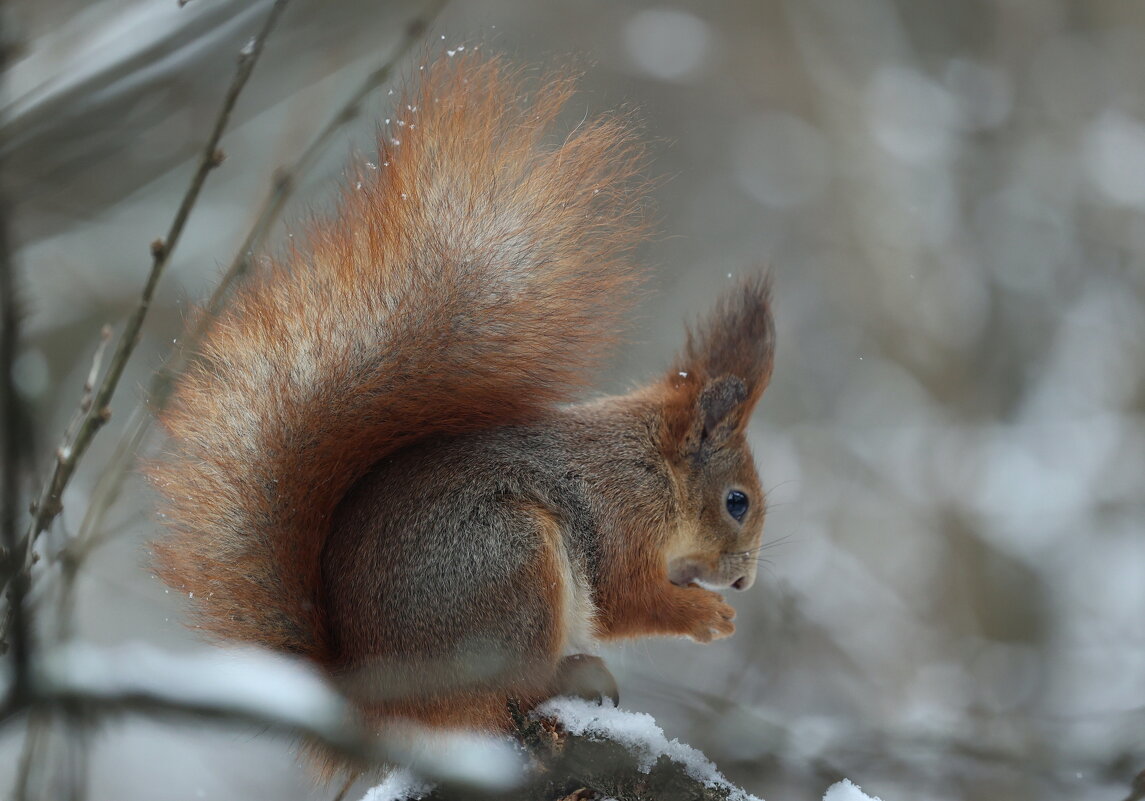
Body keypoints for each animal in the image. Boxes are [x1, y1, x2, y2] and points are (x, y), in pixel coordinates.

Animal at [149, 54, 778, 755]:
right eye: (736, 502)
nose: (745, 583)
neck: (651, 468)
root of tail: (374, 695)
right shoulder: (620, 521)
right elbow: (625, 601)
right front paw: (706, 616)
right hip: (508, 564)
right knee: (506, 691)